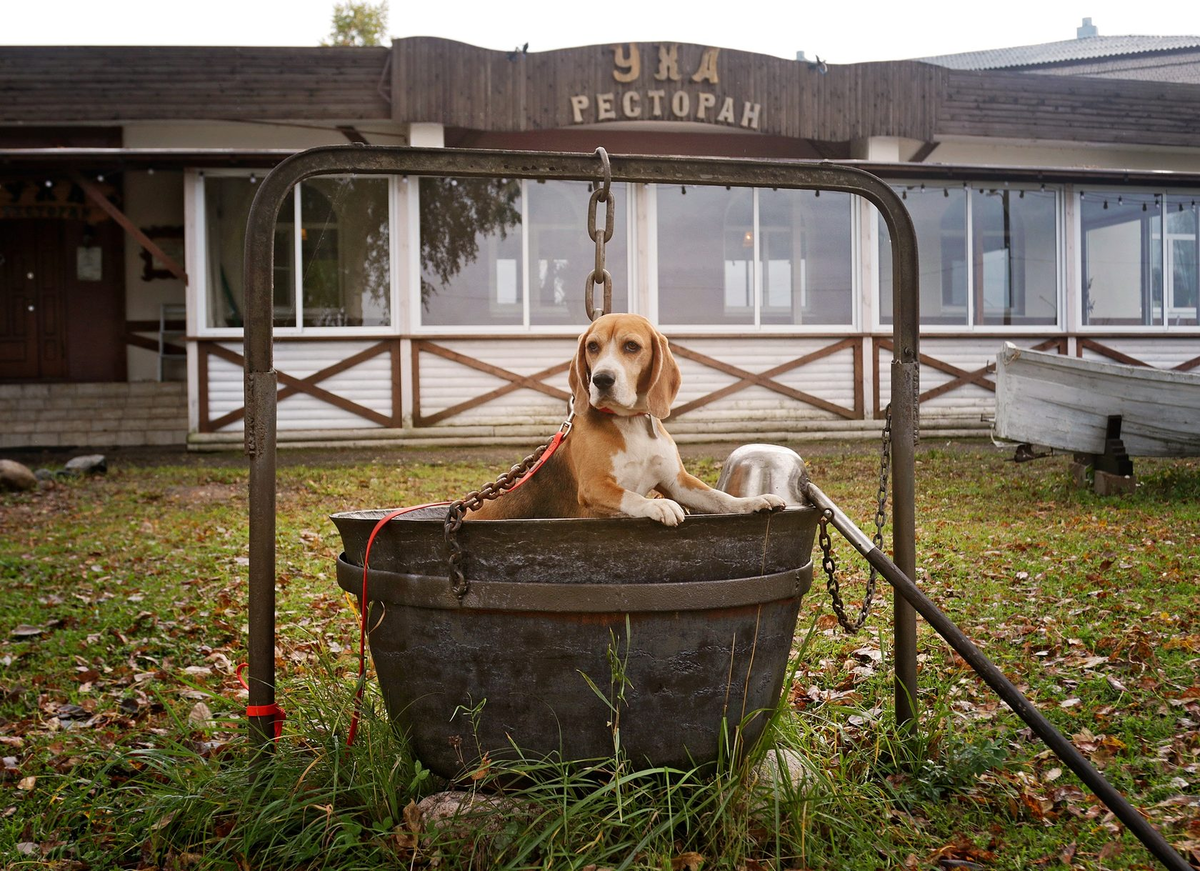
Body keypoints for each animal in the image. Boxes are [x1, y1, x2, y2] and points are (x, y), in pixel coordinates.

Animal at [468, 314, 787, 525]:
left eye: (631, 346)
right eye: (592, 346)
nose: (601, 380)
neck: (632, 423)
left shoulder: (678, 482)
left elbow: (719, 498)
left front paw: (753, 501)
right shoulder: (595, 486)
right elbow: (631, 497)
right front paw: (660, 507)